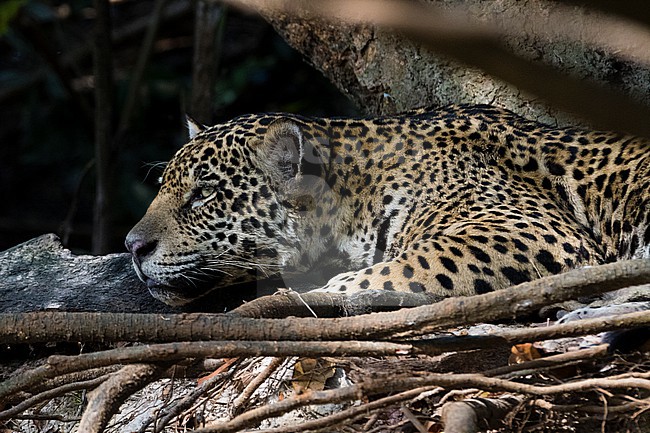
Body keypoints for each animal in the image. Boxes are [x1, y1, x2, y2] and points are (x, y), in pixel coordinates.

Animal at [125, 104, 650, 306]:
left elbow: (410, 266)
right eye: (167, 186)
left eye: (204, 192)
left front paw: (332, 289)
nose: (131, 246)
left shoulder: (525, 227)